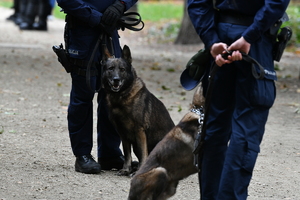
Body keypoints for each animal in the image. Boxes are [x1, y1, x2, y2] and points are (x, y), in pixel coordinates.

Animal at [102, 45, 175, 175]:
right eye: (110, 69)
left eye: (122, 69)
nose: (116, 79)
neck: (121, 97)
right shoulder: (123, 134)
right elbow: (127, 154)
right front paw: (126, 169)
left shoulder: (139, 131)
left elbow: (143, 154)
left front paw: (138, 171)